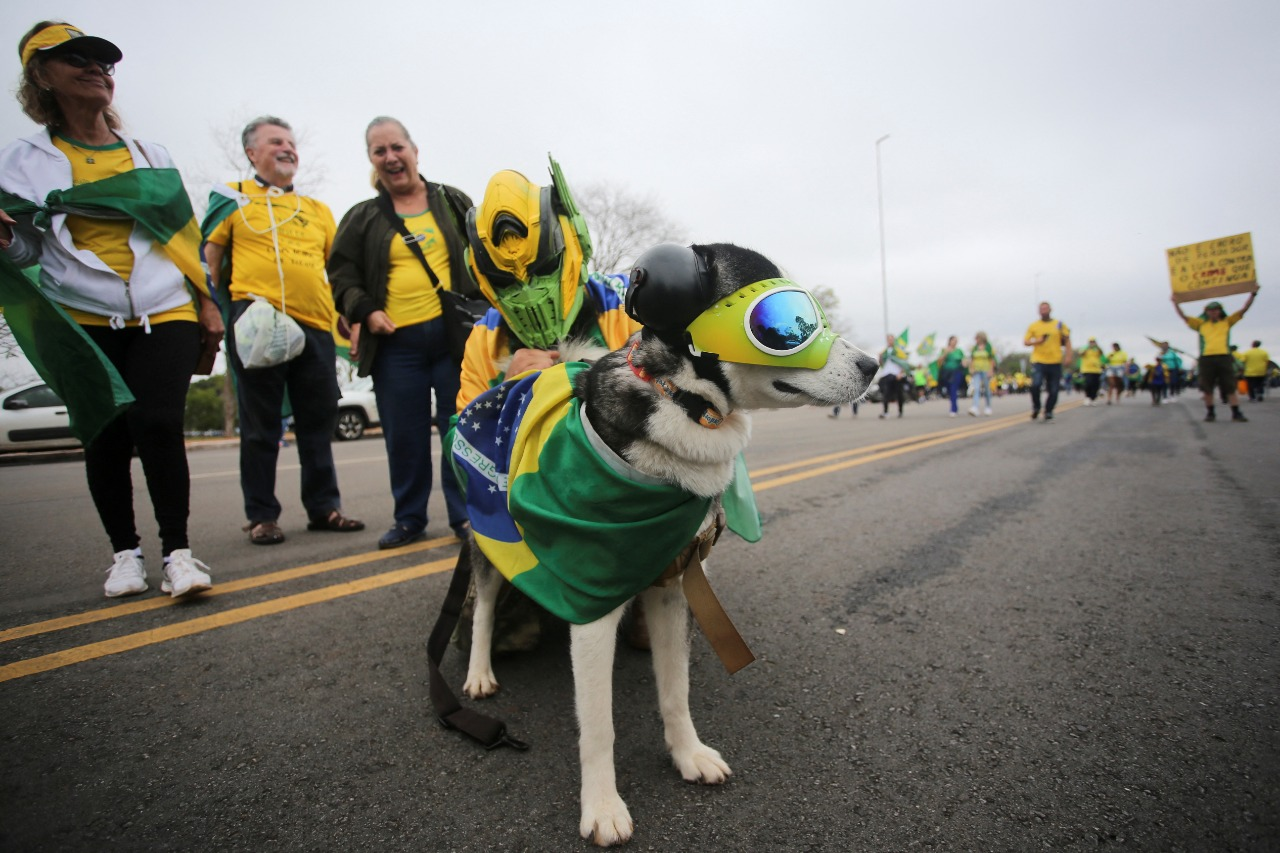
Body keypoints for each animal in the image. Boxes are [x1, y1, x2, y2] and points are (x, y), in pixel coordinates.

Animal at [450, 240, 880, 845]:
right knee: (485, 610)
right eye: (779, 324)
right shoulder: (593, 607)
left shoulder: (674, 588)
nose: (874, 365)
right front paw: (602, 806)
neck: (680, 404)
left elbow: (675, 693)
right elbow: (598, 727)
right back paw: (480, 673)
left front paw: (687, 755)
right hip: (488, 542)